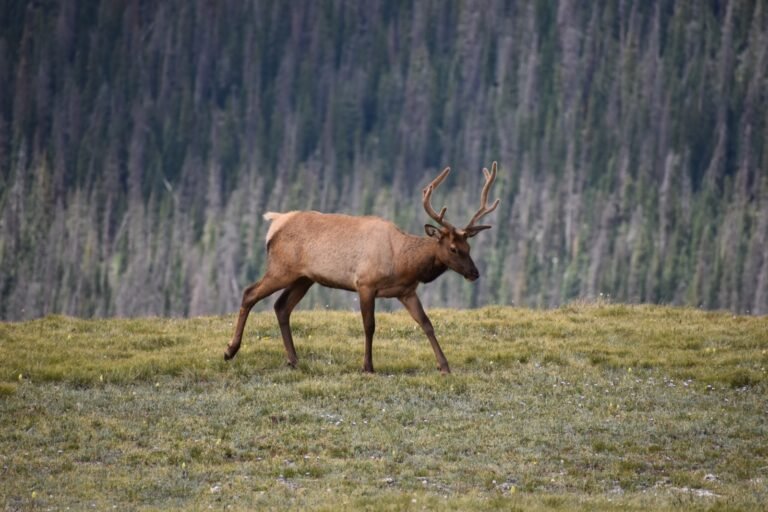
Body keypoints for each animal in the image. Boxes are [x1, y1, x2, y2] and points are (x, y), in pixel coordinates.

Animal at [223, 162, 500, 374]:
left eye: (468, 246)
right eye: (453, 248)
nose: (474, 273)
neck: (403, 262)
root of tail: (275, 222)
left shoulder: (406, 291)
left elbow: (426, 323)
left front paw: (444, 365)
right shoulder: (366, 284)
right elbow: (369, 325)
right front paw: (368, 366)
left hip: (303, 278)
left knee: (281, 307)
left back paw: (293, 359)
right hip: (281, 268)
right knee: (249, 293)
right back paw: (230, 350)